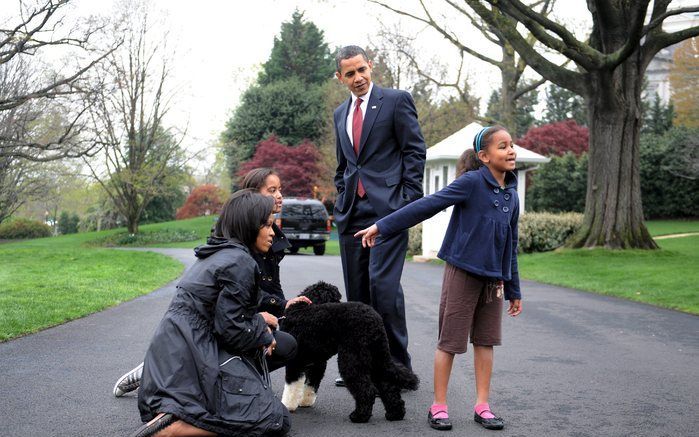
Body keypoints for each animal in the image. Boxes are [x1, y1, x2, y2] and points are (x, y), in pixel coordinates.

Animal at [280, 282, 422, 420]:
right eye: (336, 299)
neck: (303, 309)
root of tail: (375, 320)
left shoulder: (296, 361)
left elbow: (291, 386)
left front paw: (287, 405)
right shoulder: (317, 363)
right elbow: (311, 384)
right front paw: (305, 402)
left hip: (352, 358)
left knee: (367, 390)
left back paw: (359, 416)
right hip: (376, 357)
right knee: (387, 386)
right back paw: (395, 414)